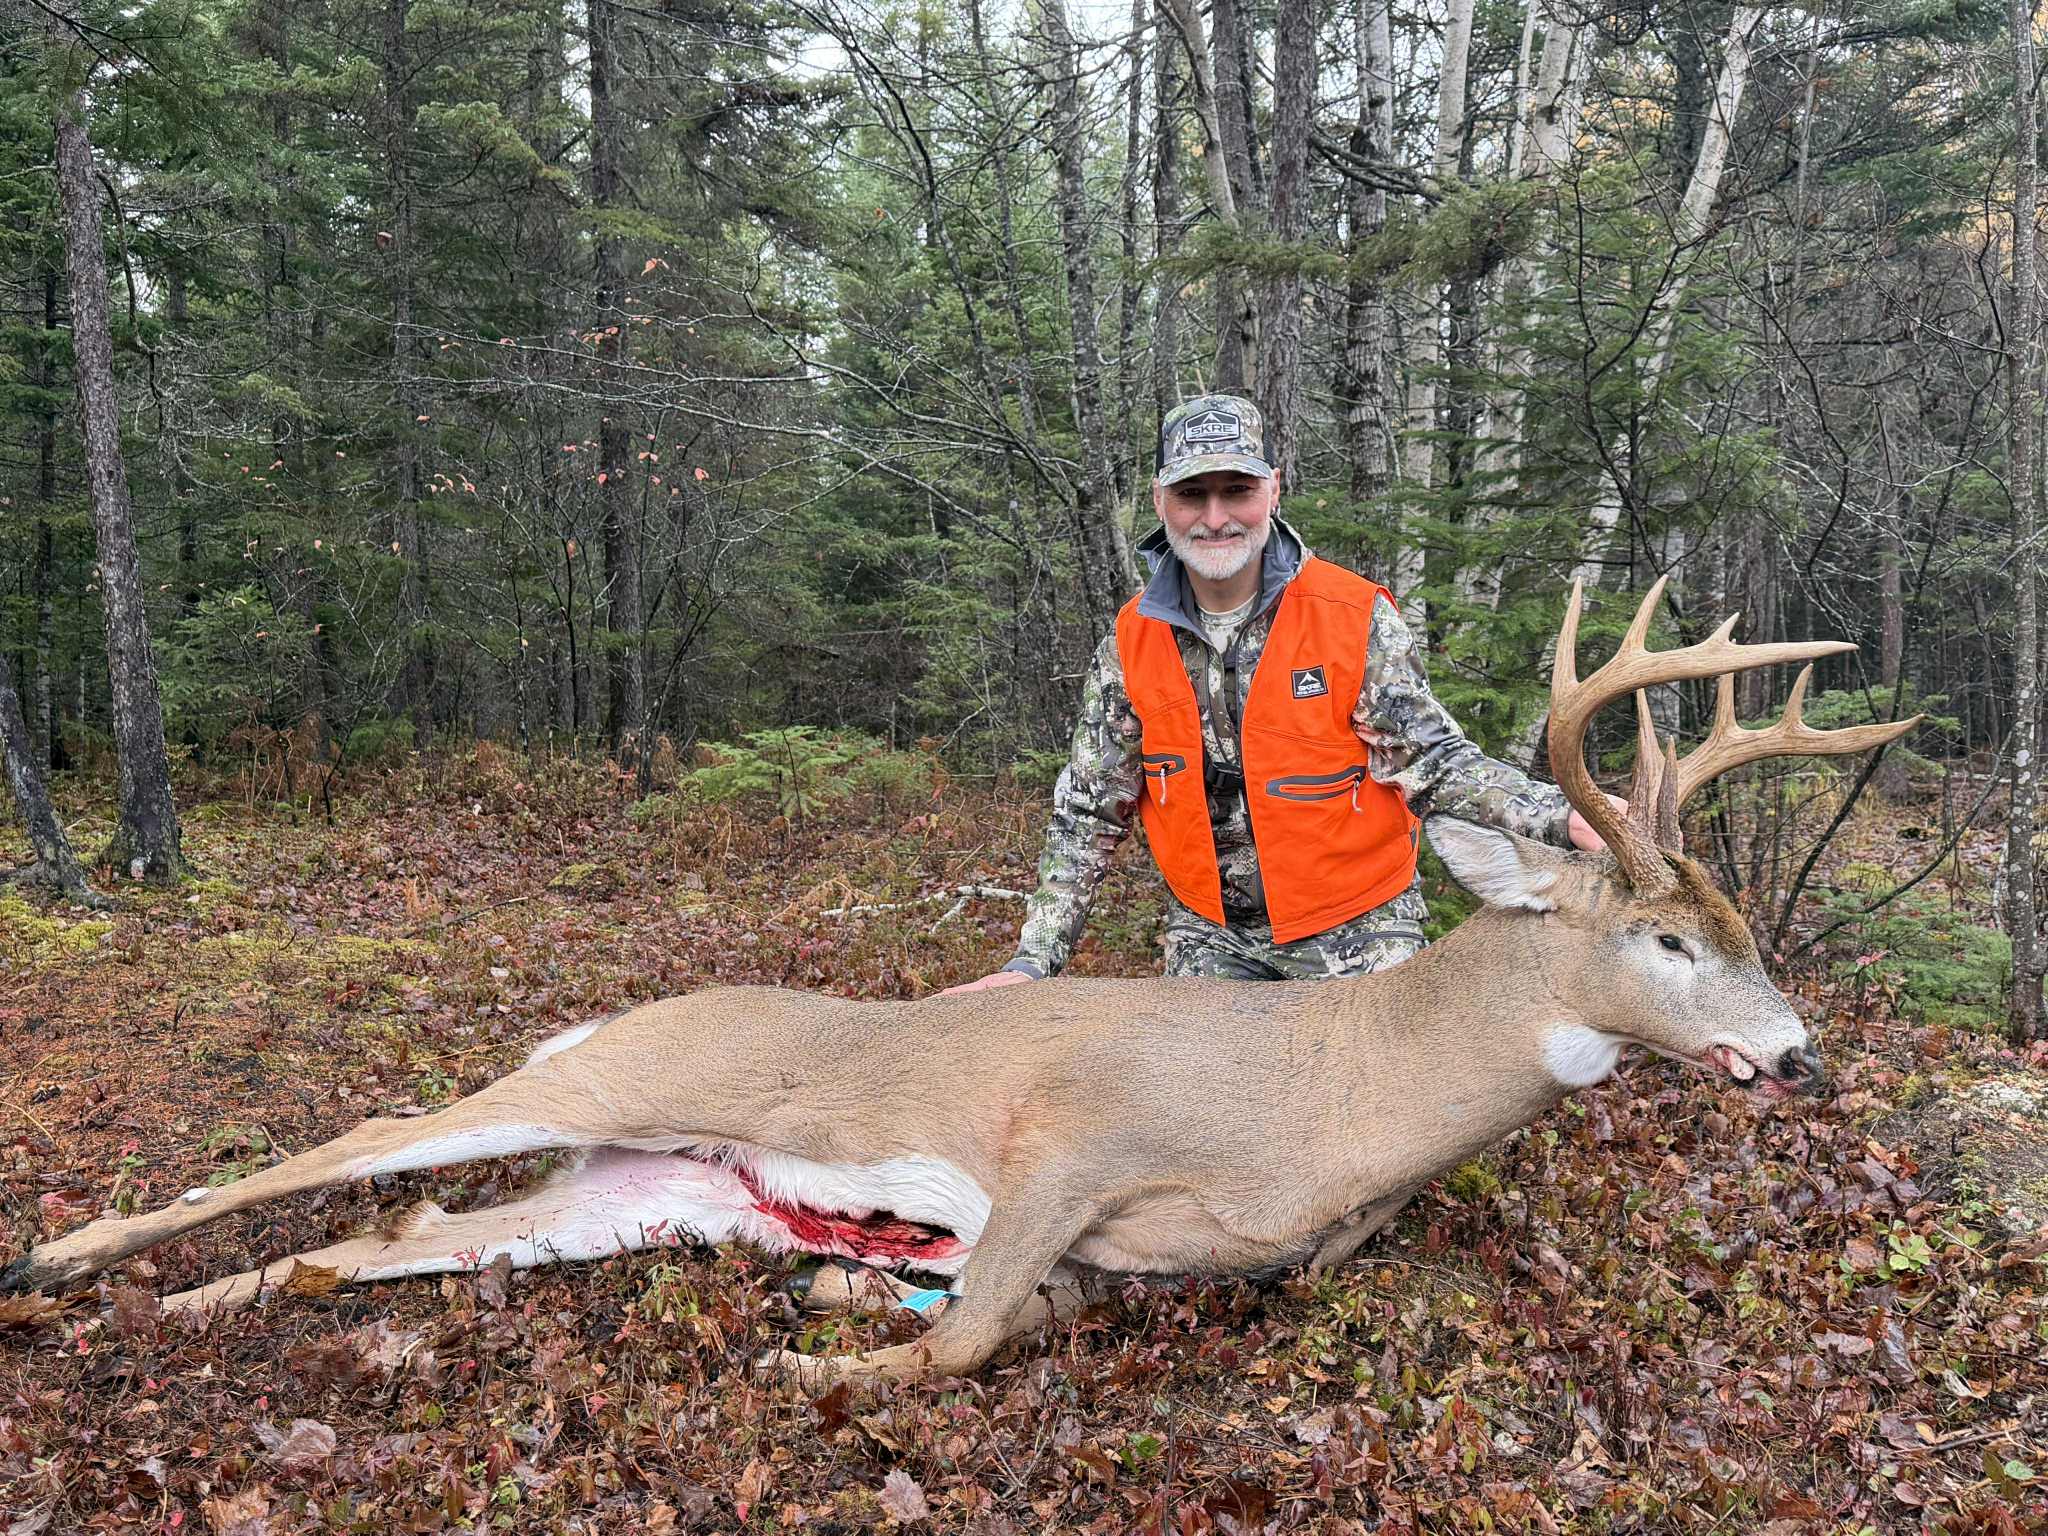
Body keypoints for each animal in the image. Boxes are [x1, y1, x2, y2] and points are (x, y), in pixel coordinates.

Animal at [2, 580, 1915, 1388]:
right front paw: (821, 1364)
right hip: (612, 1076)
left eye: (1753, 935)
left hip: (617, 1195)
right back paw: (58, 1261)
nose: (1800, 1055)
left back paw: (173, 1314)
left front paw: (834, 1298)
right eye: (1670, 939)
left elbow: (1012, 1312)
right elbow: (975, 1327)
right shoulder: (1065, 1137)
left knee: (384, 1238)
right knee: (345, 1146)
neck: (1328, 1098)